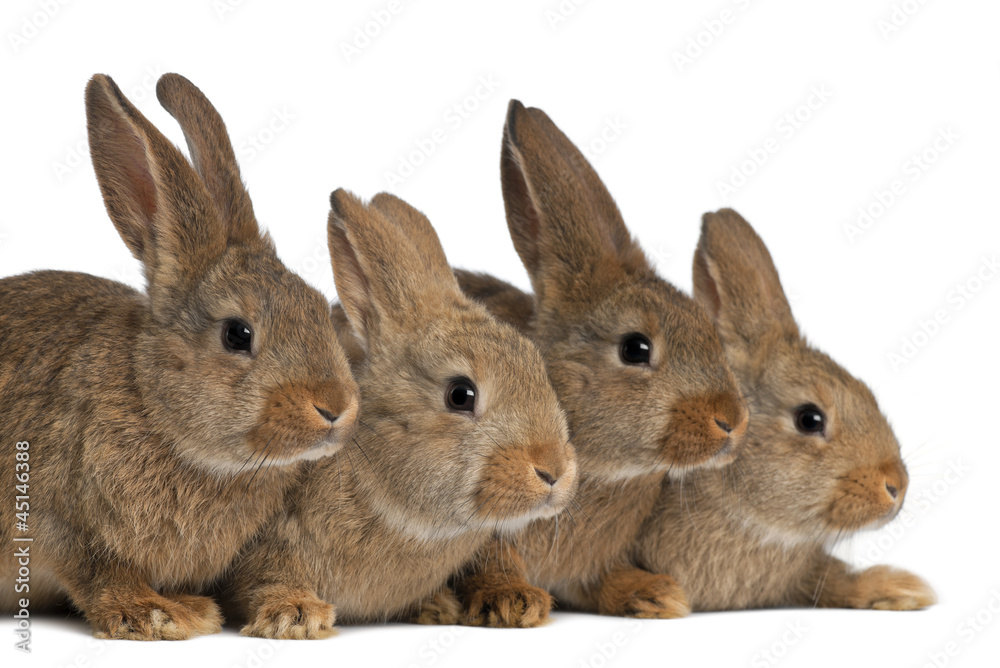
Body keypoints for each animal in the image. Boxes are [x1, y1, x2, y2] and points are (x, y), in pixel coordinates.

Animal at [0, 73, 360, 640]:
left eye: (319, 307)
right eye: (237, 334)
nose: (336, 407)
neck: (156, 408)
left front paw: (298, 612)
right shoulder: (56, 518)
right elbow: (99, 571)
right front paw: (157, 615)